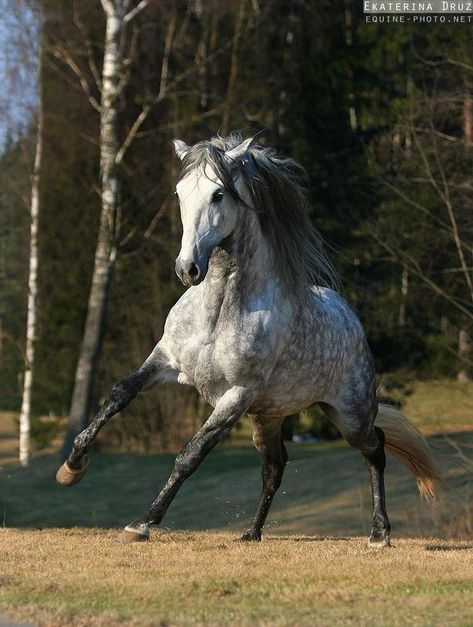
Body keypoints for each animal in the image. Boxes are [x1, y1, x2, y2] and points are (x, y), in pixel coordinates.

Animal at [57, 135, 440, 548]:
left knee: (376, 447)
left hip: (349, 413)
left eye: (218, 194)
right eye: (179, 192)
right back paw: (251, 532)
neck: (217, 314)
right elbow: (119, 393)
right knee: (275, 466)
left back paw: (379, 533)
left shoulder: (236, 395)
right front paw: (72, 467)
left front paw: (142, 522)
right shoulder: (166, 360)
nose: (187, 269)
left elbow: (191, 453)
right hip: (268, 416)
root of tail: (350, 318)